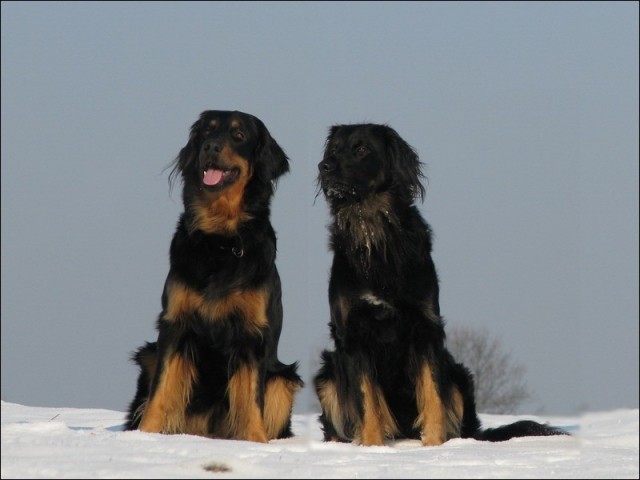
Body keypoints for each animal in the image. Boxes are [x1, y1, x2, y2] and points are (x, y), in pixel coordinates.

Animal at [127, 110, 304, 440]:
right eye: (206, 132)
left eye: (239, 135)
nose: (210, 147)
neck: (220, 240)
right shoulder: (175, 324)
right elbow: (160, 391)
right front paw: (145, 435)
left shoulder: (252, 333)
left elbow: (251, 401)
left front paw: (256, 442)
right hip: (148, 354)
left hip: (283, 379)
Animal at [312, 123, 568, 446]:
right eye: (333, 150)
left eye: (361, 149)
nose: (324, 166)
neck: (376, 234)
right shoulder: (353, 334)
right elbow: (367, 403)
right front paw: (372, 447)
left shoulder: (425, 327)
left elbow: (433, 396)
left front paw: (435, 447)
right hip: (328, 373)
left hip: (458, 373)